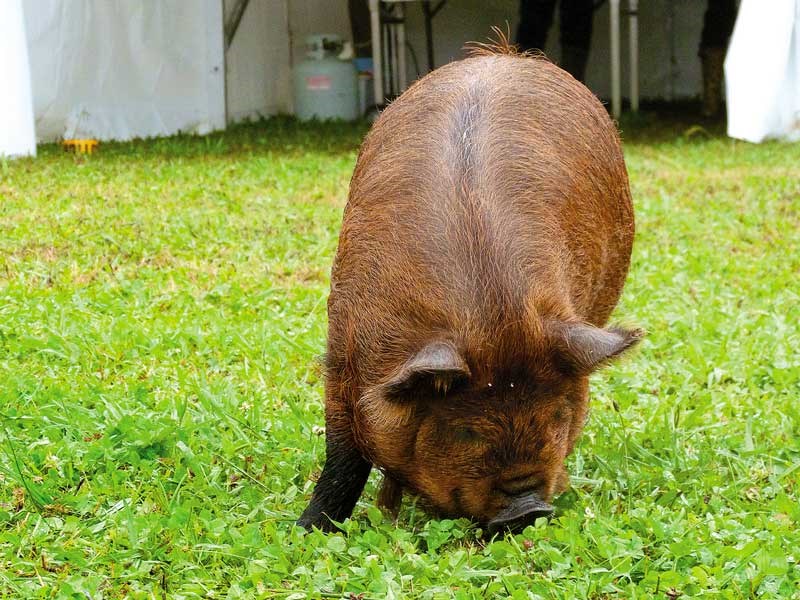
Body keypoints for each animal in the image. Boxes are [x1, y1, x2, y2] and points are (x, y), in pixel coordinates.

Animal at [296, 41, 640, 536]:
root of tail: (502, 53)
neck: (493, 310)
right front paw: (307, 530)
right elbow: (343, 457)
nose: (528, 510)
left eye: (557, 415)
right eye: (465, 430)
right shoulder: (341, 351)